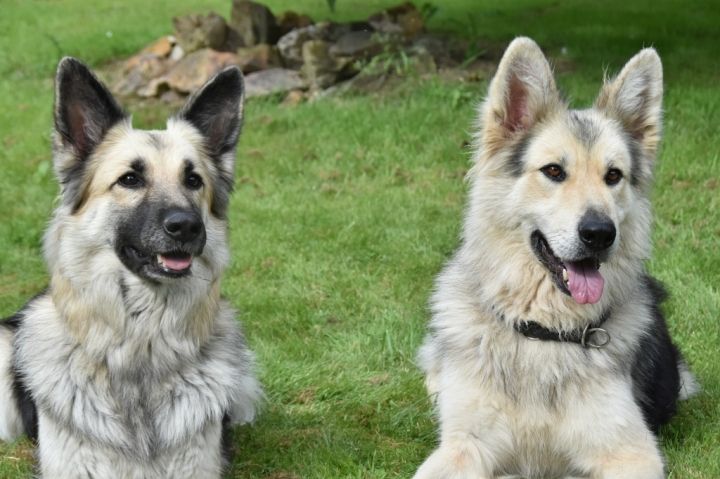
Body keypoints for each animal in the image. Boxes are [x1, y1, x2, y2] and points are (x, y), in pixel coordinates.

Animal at [414, 38, 698, 479]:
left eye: (613, 176)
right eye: (553, 171)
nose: (599, 234)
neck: (544, 331)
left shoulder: (630, 453)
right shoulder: (463, 446)